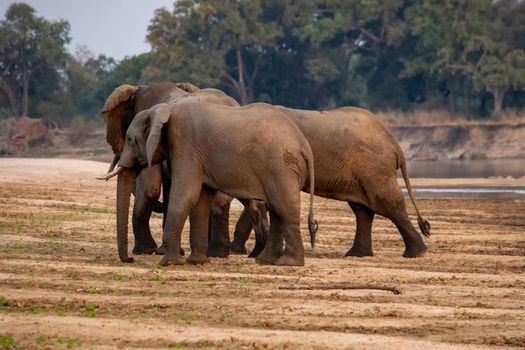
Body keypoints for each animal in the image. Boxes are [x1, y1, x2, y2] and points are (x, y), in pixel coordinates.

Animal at [106, 101, 316, 266]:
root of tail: (304, 145)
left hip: (282, 166)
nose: (130, 259)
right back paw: (265, 261)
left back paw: (289, 263)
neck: (165, 109)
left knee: (284, 208)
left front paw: (170, 263)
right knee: (277, 210)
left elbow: (185, 195)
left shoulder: (185, 145)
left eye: (130, 139)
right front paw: (197, 262)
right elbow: (200, 201)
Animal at [226, 106, 430, 258]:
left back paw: (416, 253)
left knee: (387, 203)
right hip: (361, 171)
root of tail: (395, 144)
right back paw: (357, 254)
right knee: (363, 209)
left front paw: (239, 251)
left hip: (374, 168)